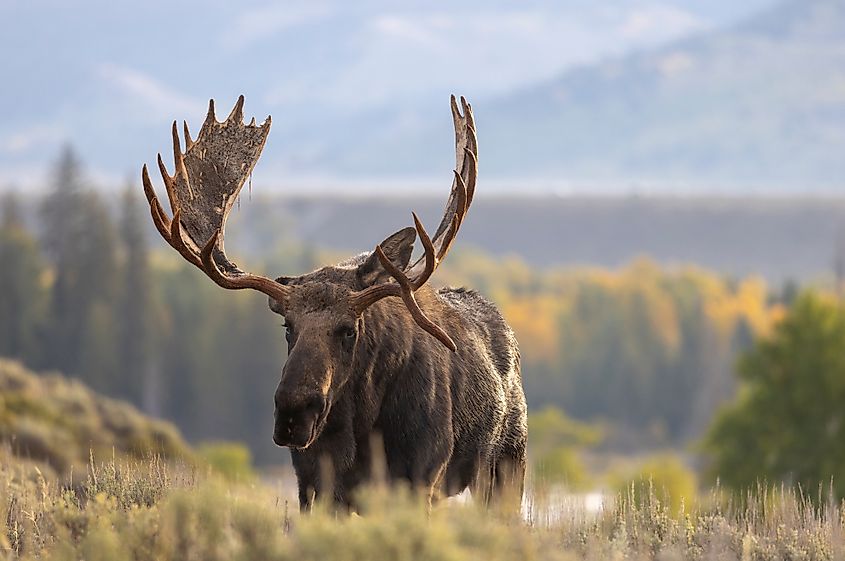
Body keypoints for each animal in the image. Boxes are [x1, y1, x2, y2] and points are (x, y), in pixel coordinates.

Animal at [141, 95, 527, 511]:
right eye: (287, 326)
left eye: (348, 330)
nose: (293, 414)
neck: (361, 430)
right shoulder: (313, 486)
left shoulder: (420, 478)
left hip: (506, 464)